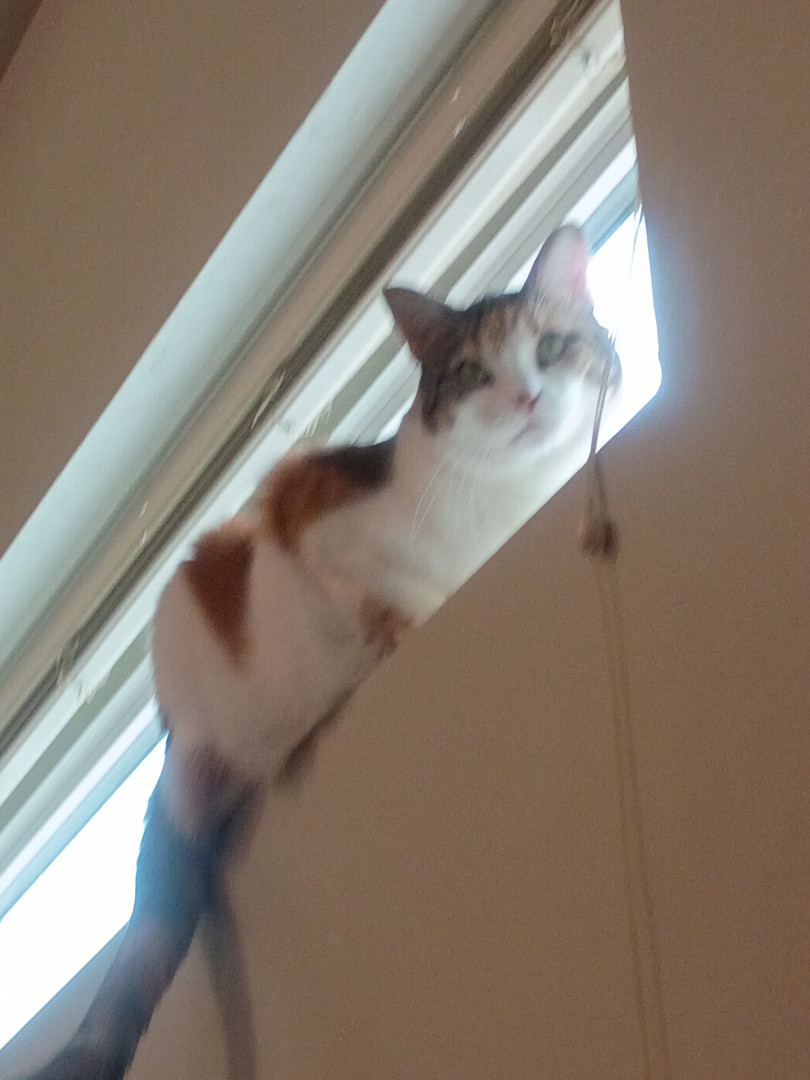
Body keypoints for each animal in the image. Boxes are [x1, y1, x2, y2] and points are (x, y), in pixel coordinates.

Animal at [22, 224, 619, 1080]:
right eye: (474, 373)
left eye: (555, 347)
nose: (527, 399)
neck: (504, 502)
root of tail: (178, 736)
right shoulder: (305, 515)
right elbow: (387, 597)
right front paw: (406, 625)